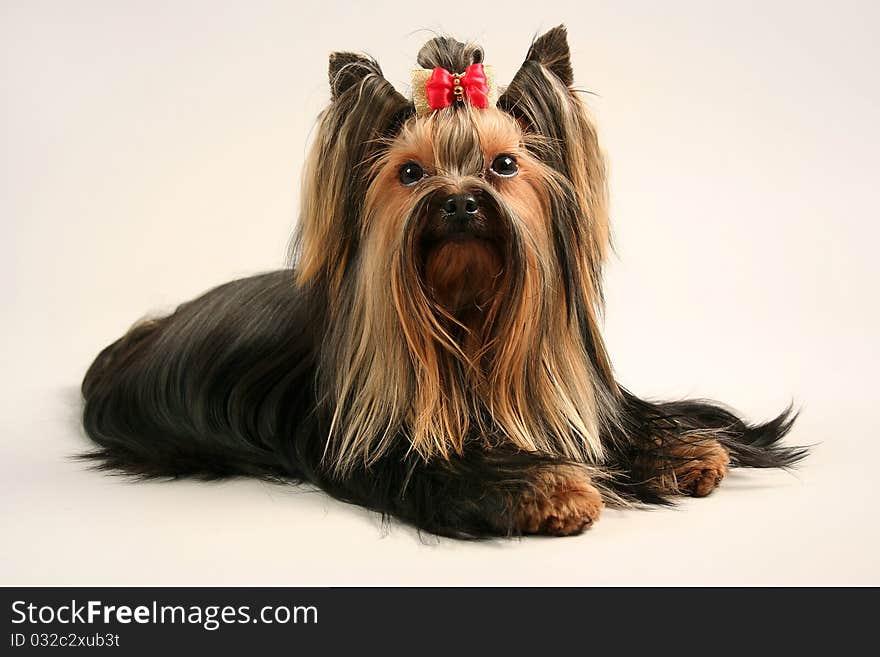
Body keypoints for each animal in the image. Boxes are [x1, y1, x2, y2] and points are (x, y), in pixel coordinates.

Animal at [82, 26, 804, 540]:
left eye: (504, 165)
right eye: (410, 173)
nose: (459, 201)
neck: (469, 314)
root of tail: (149, 332)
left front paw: (687, 452)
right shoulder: (391, 446)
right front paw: (555, 489)